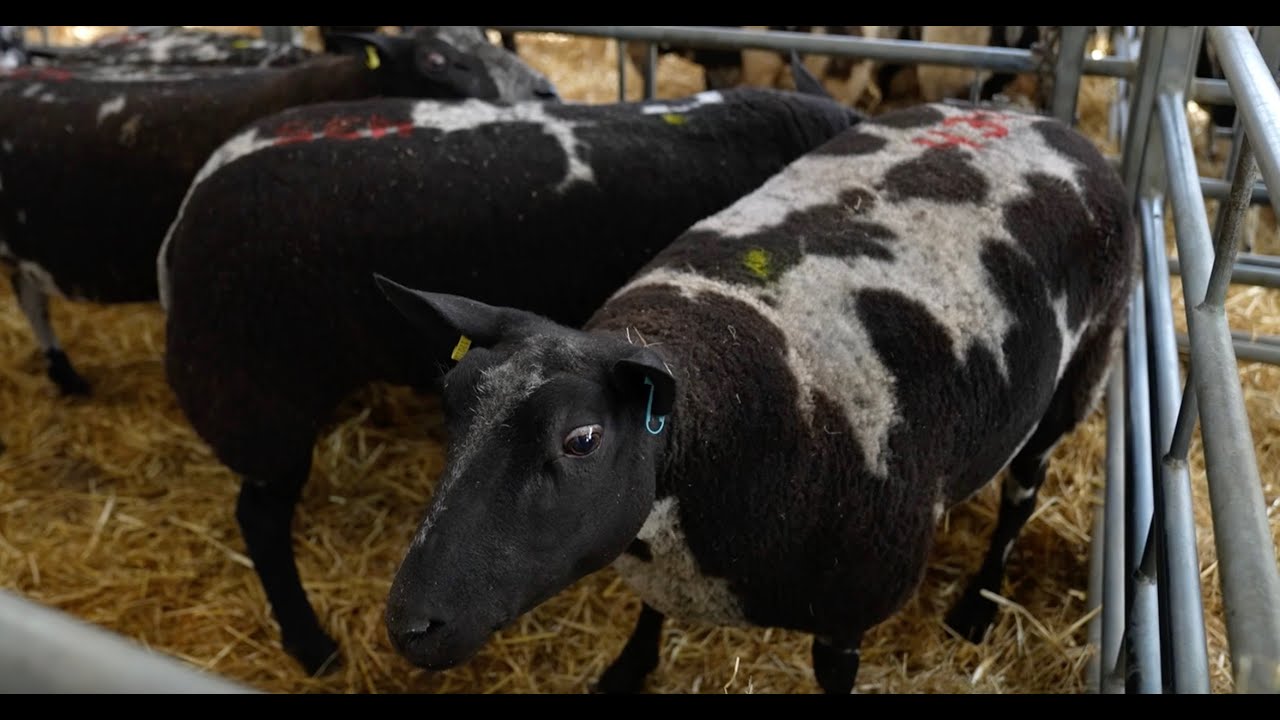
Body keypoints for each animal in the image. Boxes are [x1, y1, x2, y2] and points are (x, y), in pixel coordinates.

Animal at [376, 100, 1137, 693]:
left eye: (582, 439)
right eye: (451, 400)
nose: (409, 625)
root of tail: (1046, 121)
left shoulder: (846, 621)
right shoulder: (662, 561)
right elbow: (651, 613)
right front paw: (628, 669)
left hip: (1079, 375)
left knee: (1022, 497)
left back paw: (978, 606)